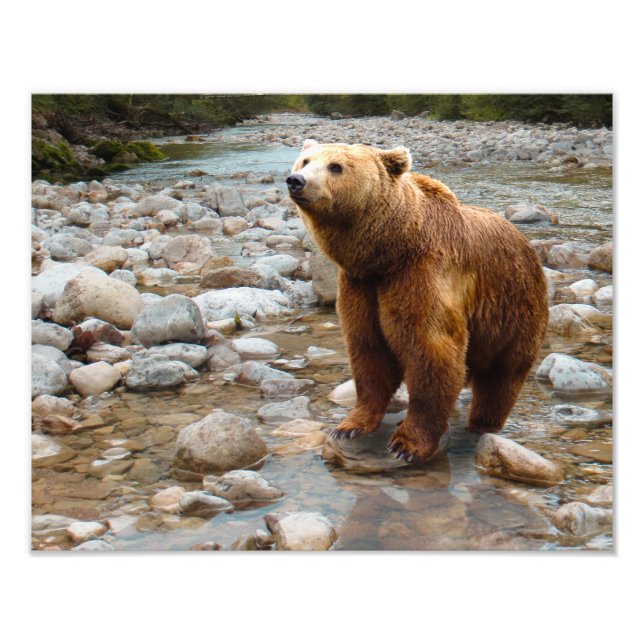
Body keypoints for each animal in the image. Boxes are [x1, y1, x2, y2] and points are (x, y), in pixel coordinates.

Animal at [287, 139, 548, 463]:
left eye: (336, 166)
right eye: (305, 161)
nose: (296, 180)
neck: (390, 251)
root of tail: (526, 242)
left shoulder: (421, 274)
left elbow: (431, 350)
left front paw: (406, 444)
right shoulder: (361, 286)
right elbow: (368, 350)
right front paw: (349, 426)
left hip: (514, 307)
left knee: (502, 375)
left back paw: (481, 423)